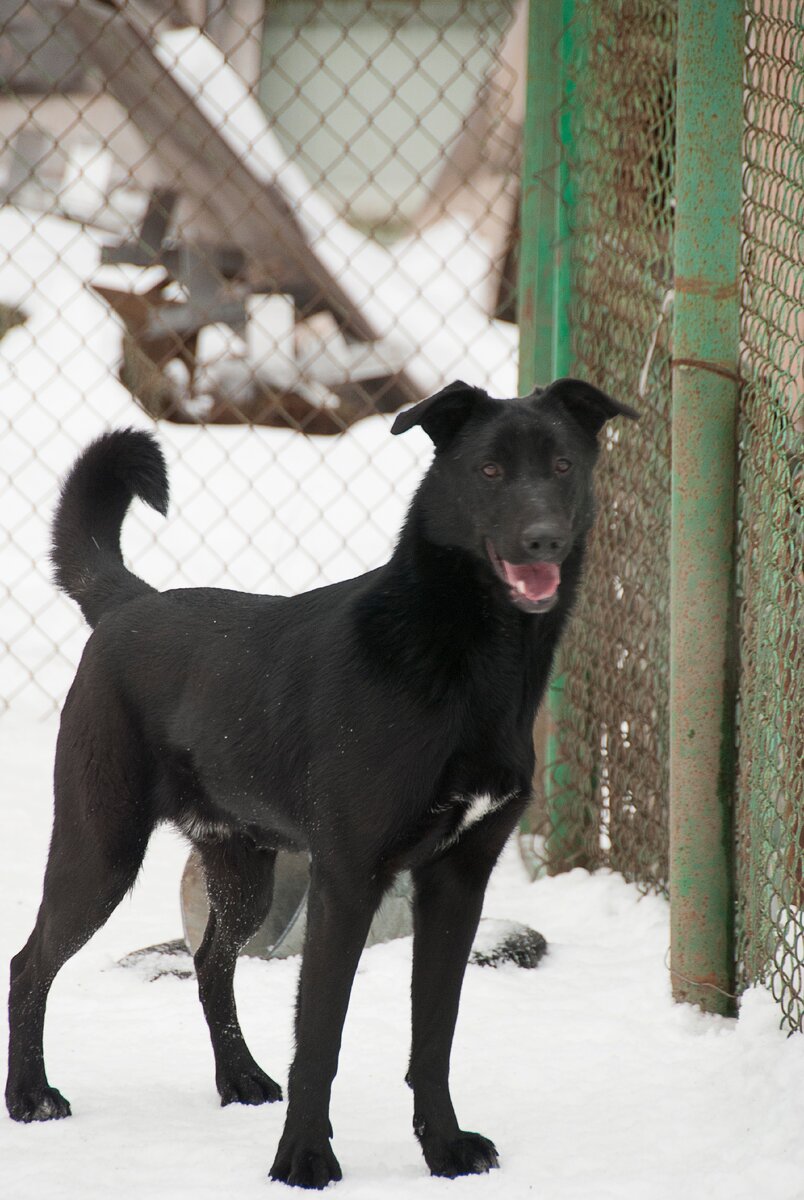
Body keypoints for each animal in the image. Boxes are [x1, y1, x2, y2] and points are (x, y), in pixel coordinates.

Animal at [4, 379, 638, 1185]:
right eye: (490, 471)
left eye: (561, 465)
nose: (543, 539)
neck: (465, 659)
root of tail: (130, 602)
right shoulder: (347, 879)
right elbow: (321, 1039)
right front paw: (304, 1158)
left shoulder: (457, 881)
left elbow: (434, 1037)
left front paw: (444, 1148)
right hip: (100, 851)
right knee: (30, 963)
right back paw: (31, 1096)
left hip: (244, 873)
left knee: (211, 962)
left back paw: (239, 1078)